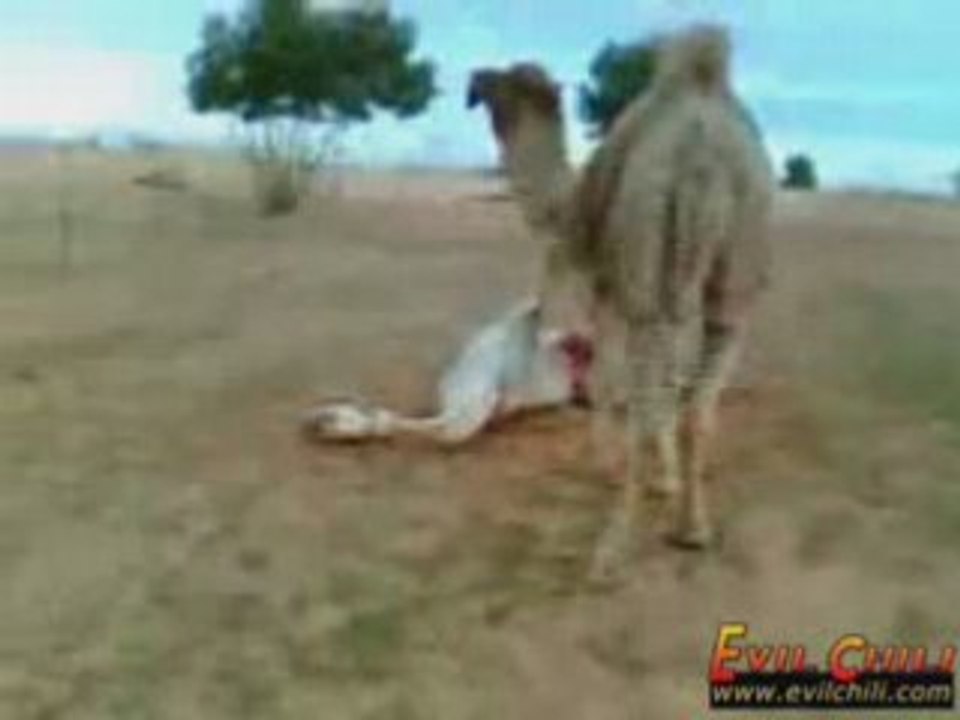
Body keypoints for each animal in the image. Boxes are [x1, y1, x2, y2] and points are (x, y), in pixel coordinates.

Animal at [468, 25, 774, 566]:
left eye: (502, 85)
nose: (474, 81)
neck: (569, 208)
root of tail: (702, 159)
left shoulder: (606, 288)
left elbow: (611, 381)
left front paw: (613, 467)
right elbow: (670, 384)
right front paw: (667, 482)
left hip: (645, 258)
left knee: (644, 392)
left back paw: (612, 549)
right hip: (735, 268)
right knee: (700, 397)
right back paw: (694, 529)